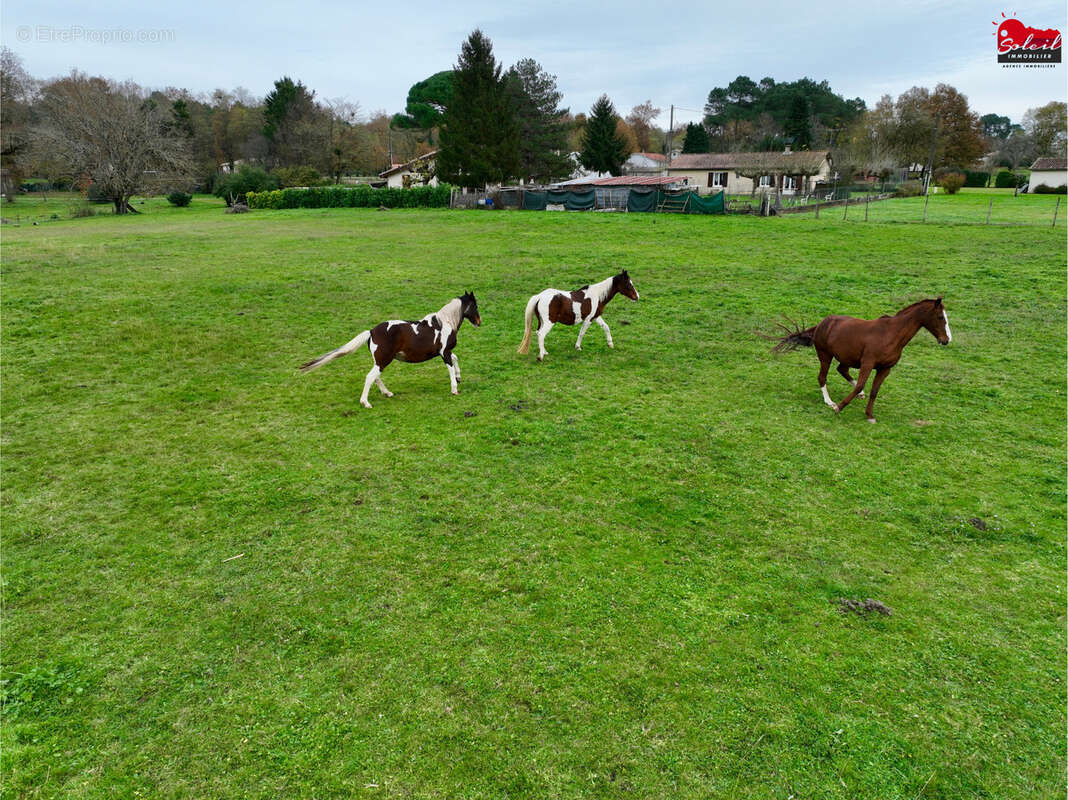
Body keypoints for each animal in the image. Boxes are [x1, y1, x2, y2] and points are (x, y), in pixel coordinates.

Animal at [303, 290, 482, 408]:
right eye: (475, 306)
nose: (479, 322)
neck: (444, 323)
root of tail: (371, 331)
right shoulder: (444, 352)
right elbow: (450, 367)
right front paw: (454, 389)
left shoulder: (445, 352)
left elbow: (456, 359)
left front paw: (459, 378)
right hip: (384, 360)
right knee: (370, 377)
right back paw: (366, 402)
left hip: (381, 361)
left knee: (375, 377)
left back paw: (387, 393)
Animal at [773, 299, 956, 425]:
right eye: (940, 317)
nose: (946, 340)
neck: (891, 334)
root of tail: (821, 324)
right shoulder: (868, 363)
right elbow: (861, 384)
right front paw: (838, 407)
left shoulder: (885, 369)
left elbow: (874, 391)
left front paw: (869, 415)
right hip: (825, 355)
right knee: (822, 377)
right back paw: (829, 401)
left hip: (846, 357)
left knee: (842, 370)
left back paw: (857, 395)